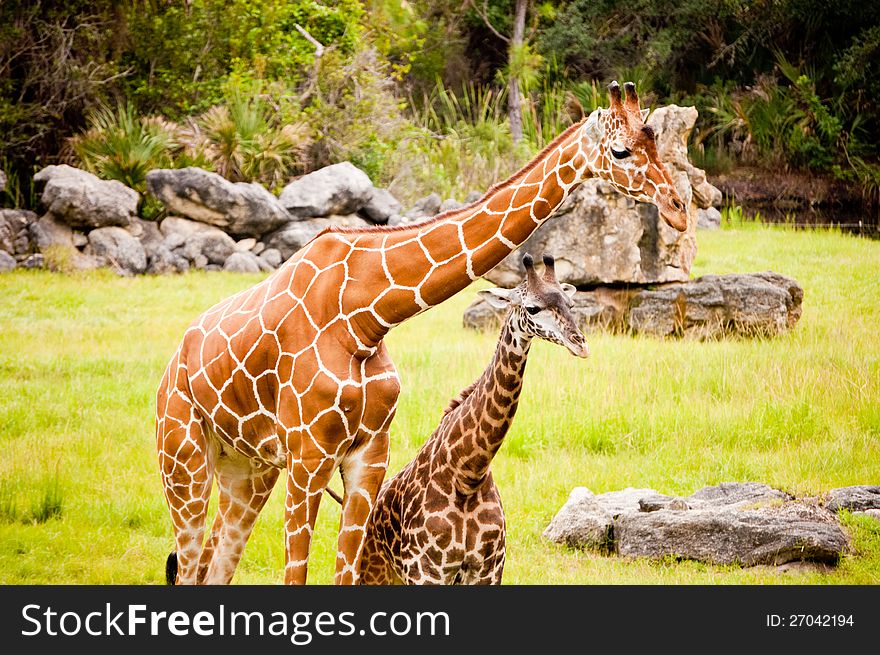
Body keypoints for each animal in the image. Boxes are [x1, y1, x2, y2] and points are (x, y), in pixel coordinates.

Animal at [358, 254, 592, 588]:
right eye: (532, 308)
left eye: (570, 304)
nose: (580, 344)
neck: (468, 473)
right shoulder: (427, 572)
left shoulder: (488, 571)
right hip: (374, 570)